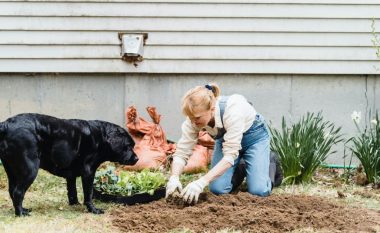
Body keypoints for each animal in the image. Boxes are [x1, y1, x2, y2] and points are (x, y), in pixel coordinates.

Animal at [0, 113, 139, 217]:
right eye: (128, 146)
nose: (137, 158)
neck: (101, 137)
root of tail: (6, 124)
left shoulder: (71, 175)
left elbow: (72, 191)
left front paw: (75, 204)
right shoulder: (89, 172)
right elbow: (88, 193)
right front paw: (93, 210)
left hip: (11, 170)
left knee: (12, 191)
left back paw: (23, 209)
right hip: (30, 169)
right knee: (18, 192)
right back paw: (21, 214)